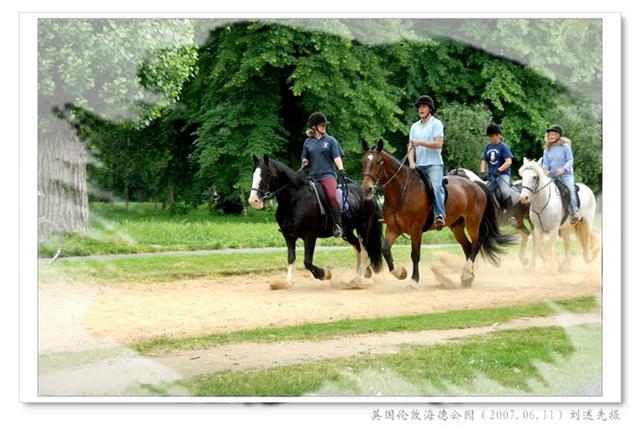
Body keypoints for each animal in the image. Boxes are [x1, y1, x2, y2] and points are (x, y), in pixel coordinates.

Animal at [249, 155, 380, 290]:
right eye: (253, 174)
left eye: (266, 174)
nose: (253, 201)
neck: (295, 200)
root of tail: (367, 194)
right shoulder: (288, 236)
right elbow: (291, 258)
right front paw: (287, 282)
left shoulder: (310, 236)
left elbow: (307, 261)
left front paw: (324, 274)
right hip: (347, 232)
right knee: (358, 247)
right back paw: (363, 273)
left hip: (364, 228)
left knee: (365, 251)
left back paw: (358, 280)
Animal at [360, 141, 516, 288]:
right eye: (363, 161)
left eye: (378, 162)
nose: (367, 189)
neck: (402, 192)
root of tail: (477, 184)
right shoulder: (393, 228)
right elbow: (385, 250)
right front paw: (400, 273)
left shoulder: (416, 230)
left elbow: (415, 254)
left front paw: (414, 280)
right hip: (457, 226)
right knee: (467, 246)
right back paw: (468, 277)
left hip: (473, 222)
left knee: (475, 245)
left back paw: (467, 274)